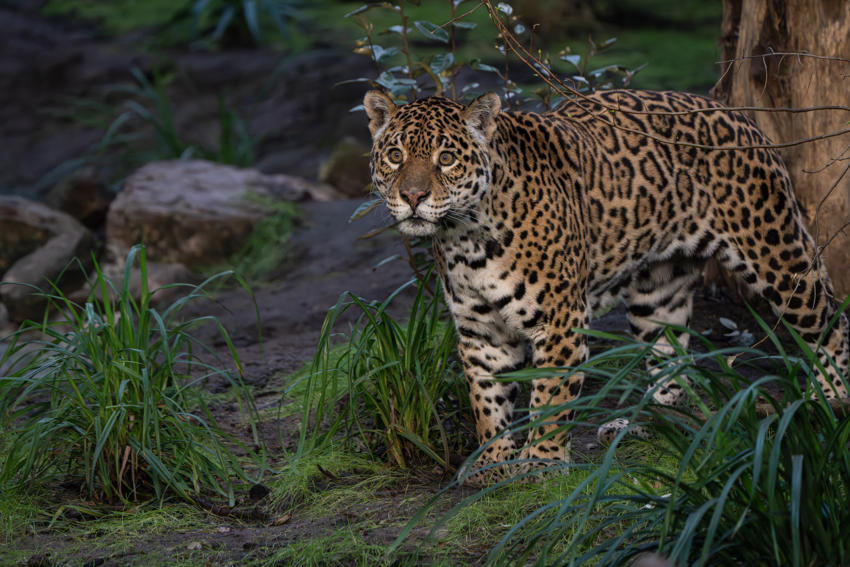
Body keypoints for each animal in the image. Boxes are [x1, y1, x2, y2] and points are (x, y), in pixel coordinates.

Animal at [363, 88, 850, 486]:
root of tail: (739, 115)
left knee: (830, 320)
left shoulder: (560, 321)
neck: (466, 236)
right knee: (670, 355)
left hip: (776, 255)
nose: (412, 197)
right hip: (659, 290)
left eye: (446, 158)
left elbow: (551, 397)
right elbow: (487, 399)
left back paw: (831, 401)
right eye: (395, 155)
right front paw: (493, 460)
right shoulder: (480, 331)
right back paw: (649, 424)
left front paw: (540, 462)